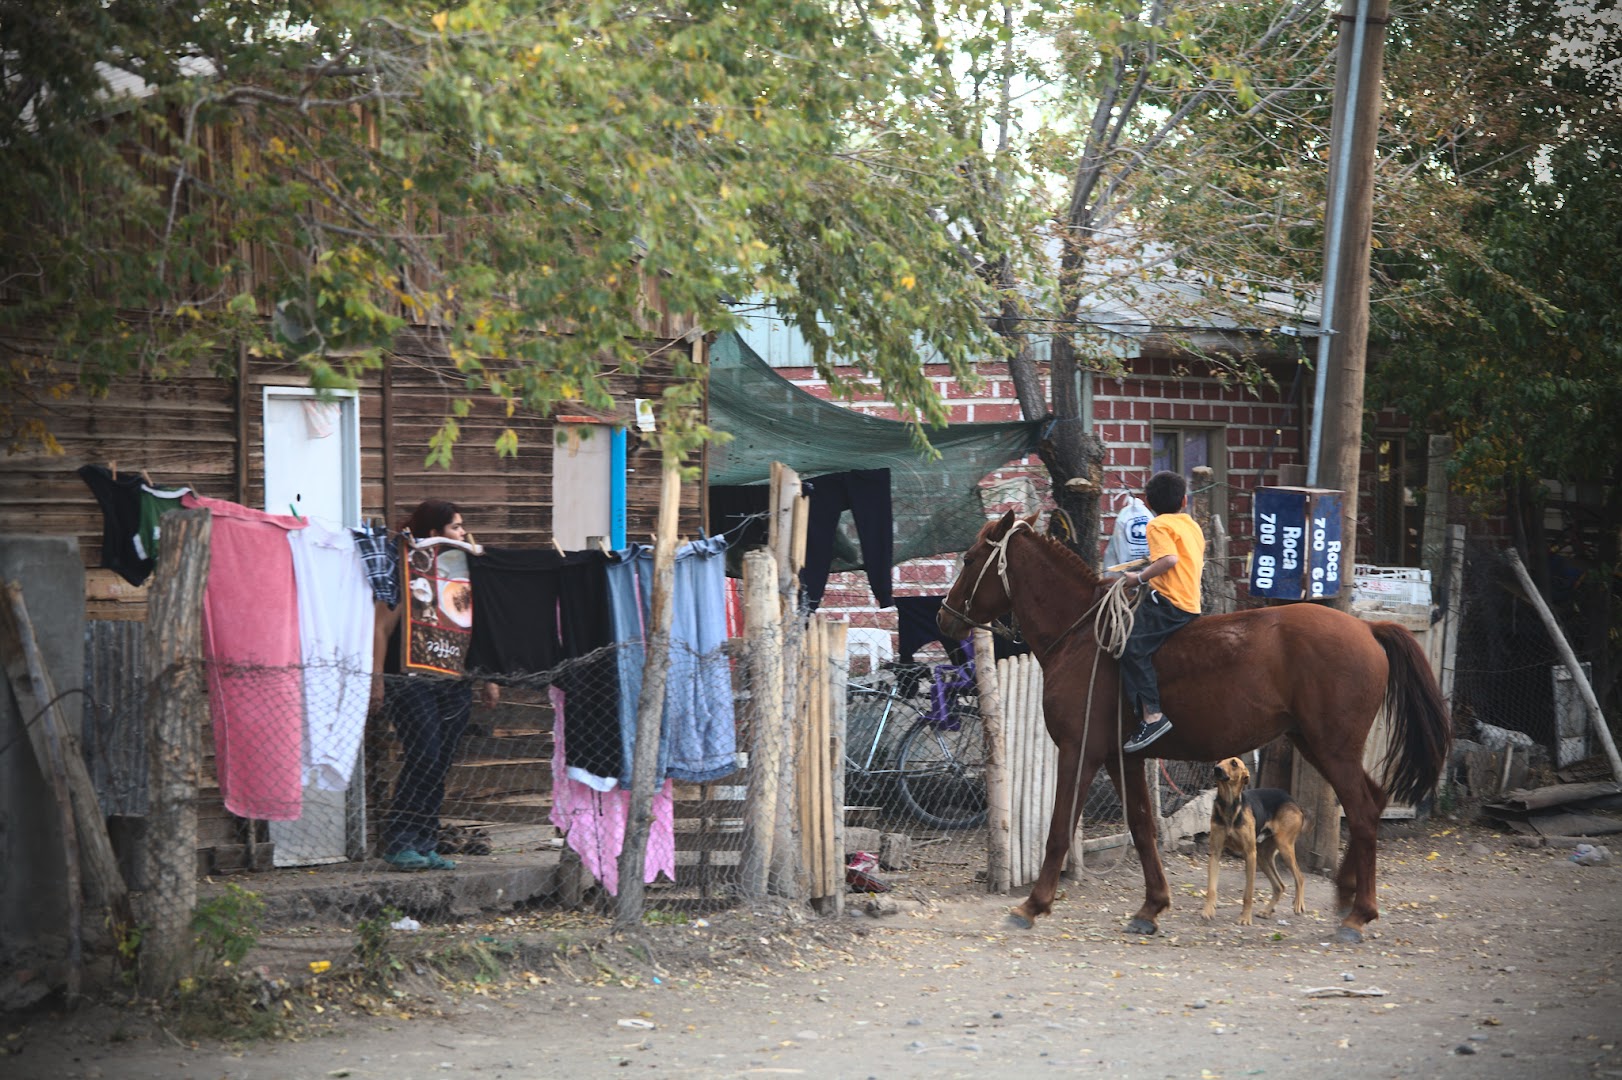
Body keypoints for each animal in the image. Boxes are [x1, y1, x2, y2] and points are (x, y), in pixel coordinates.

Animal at [1200, 752, 1310, 921]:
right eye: (1219, 761)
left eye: (1234, 763)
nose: (1216, 769)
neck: (1229, 804)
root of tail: (1293, 801)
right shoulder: (1215, 852)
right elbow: (1211, 888)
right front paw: (1208, 910)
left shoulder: (1250, 854)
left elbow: (1249, 892)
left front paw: (1245, 918)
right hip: (1263, 855)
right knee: (1280, 886)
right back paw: (1267, 911)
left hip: (1283, 847)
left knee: (1300, 877)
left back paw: (1298, 904)